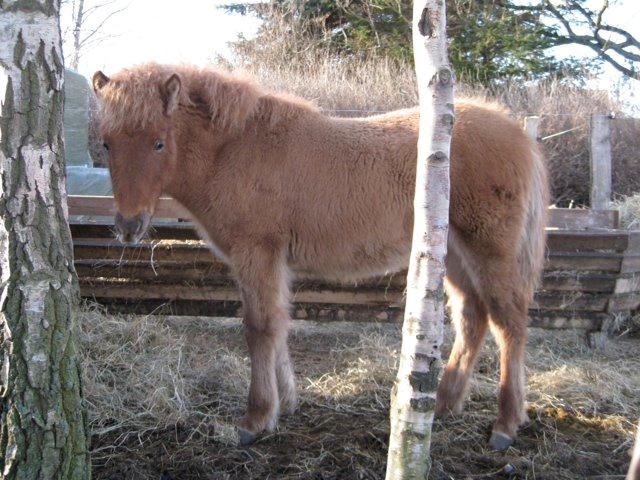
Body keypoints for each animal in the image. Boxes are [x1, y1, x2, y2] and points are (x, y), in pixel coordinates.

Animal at [92, 62, 548, 450]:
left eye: (158, 142)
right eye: (107, 143)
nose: (128, 226)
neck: (236, 149)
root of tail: (519, 135)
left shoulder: (256, 253)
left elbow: (259, 327)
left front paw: (256, 418)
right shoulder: (269, 262)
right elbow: (277, 324)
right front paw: (286, 402)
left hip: (491, 250)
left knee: (508, 323)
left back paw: (505, 424)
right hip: (451, 254)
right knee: (473, 317)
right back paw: (443, 403)